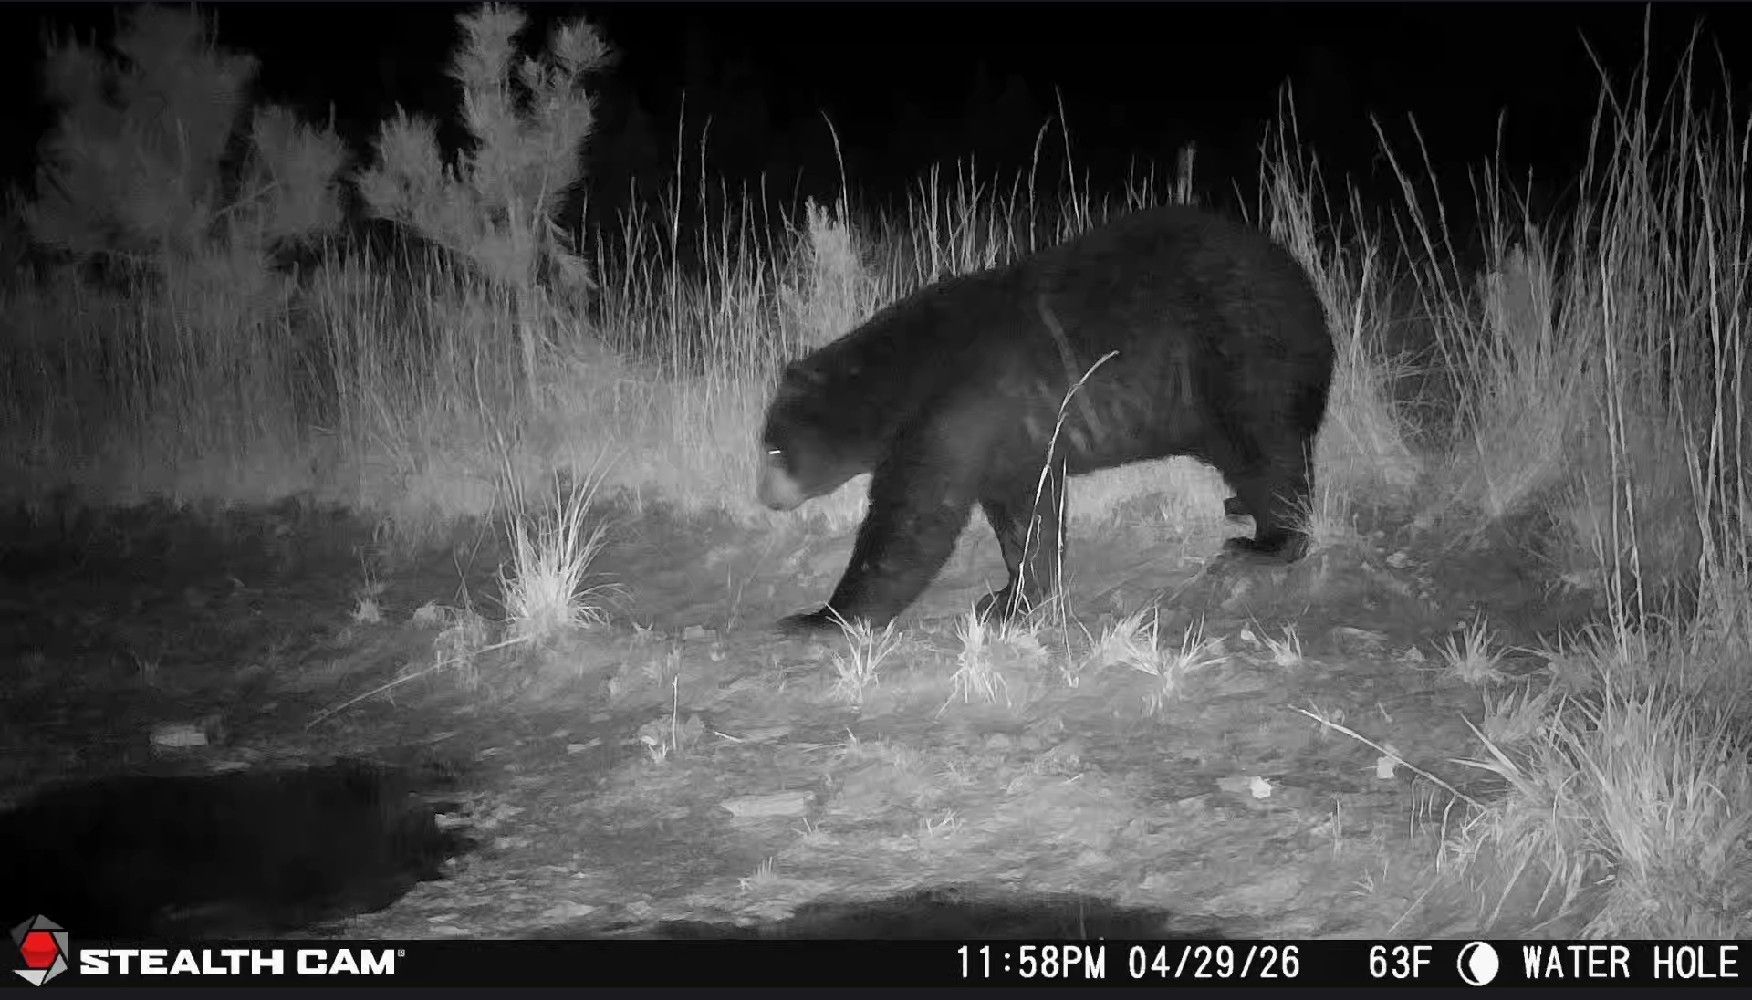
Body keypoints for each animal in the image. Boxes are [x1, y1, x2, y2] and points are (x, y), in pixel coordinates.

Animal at [757, 203, 1334, 636]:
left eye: (772, 448)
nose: (763, 495)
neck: (903, 375)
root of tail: (1310, 298)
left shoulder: (959, 408)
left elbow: (915, 518)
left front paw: (818, 617)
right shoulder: (1014, 432)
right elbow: (1026, 511)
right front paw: (1012, 595)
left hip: (1243, 360)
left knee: (1267, 453)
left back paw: (1264, 544)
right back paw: (1240, 508)